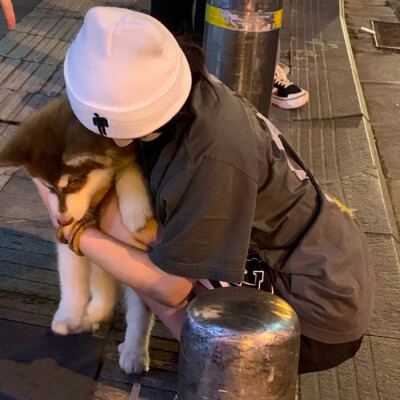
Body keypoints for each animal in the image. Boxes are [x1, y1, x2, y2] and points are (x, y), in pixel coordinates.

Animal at [0, 97, 155, 376]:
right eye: (47, 186)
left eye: (74, 182)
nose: (63, 220)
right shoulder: (69, 234)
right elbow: (71, 274)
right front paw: (69, 316)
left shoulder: (132, 153)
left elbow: (130, 170)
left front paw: (135, 208)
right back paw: (92, 314)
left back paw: (131, 350)